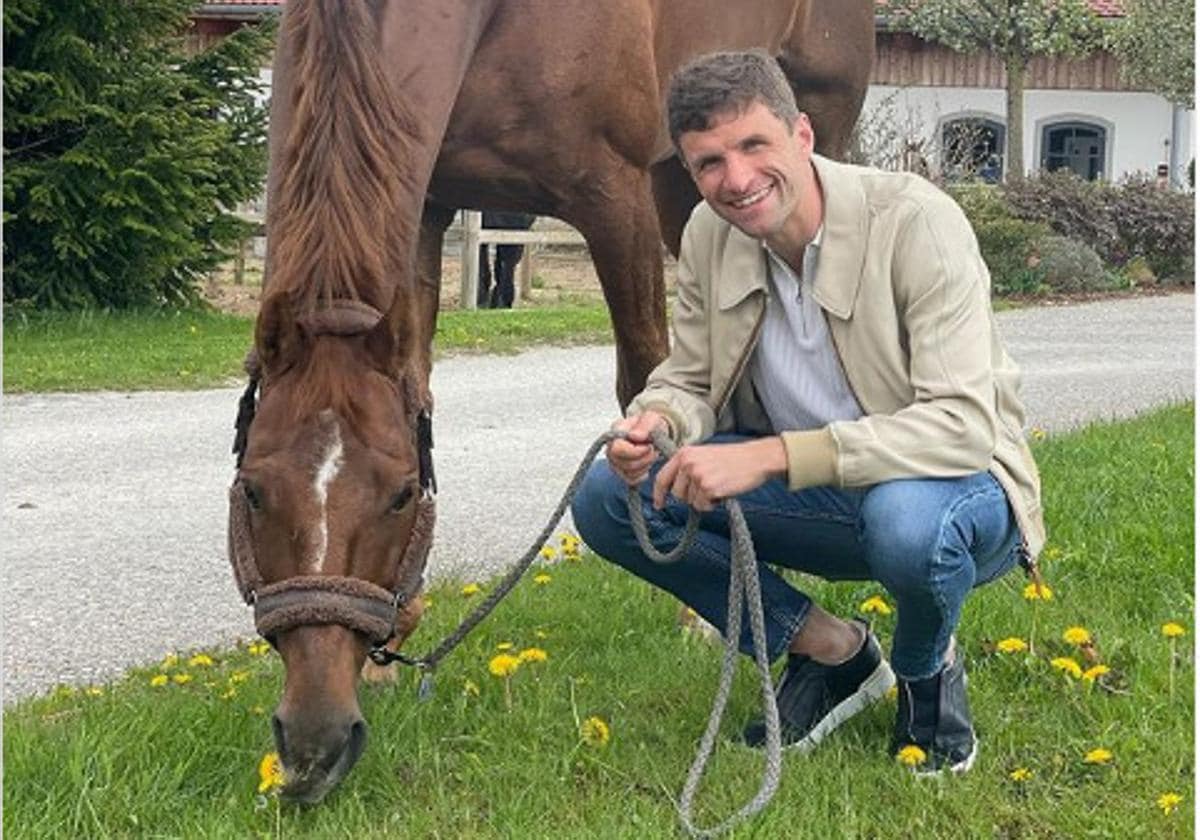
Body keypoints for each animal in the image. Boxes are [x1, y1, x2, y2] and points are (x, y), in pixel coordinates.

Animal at [231, 0, 873, 801]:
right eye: (253, 491)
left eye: (400, 493)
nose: (316, 744)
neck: (489, 21)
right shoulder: (429, 201)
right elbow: (419, 382)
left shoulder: (612, 195)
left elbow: (645, 381)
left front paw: (698, 608)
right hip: (686, 180)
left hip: (804, 131)